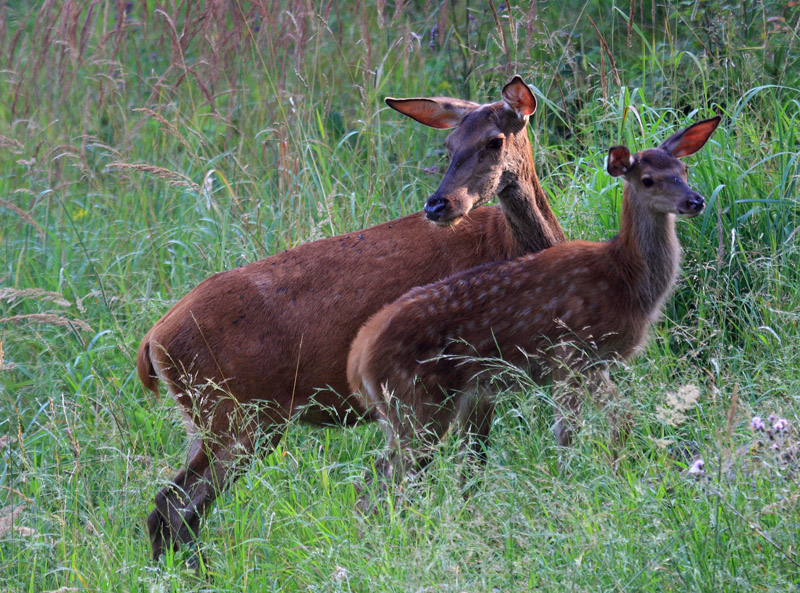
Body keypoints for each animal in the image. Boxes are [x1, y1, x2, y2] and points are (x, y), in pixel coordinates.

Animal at [142, 75, 568, 560]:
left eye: (494, 141)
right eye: (449, 144)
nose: (439, 204)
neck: (513, 251)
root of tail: (153, 341)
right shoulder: (471, 373)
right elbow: (468, 473)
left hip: (213, 419)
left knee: (178, 508)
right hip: (235, 415)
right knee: (172, 505)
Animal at [346, 117, 720, 486]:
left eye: (684, 169)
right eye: (647, 179)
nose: (696, 201)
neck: (624, 277)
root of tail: (358, 356)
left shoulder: (595, 362)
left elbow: (621, 417)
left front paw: (617, 471)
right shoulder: (570, 351)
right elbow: (568, 432)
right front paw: (572, 482)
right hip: (415, 402)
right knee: (381, 475)